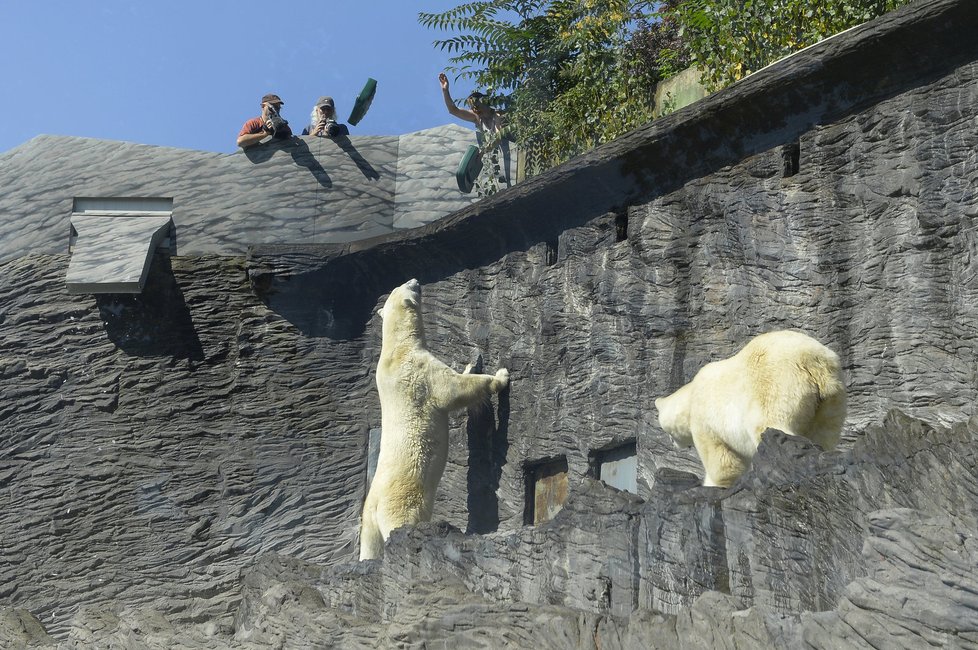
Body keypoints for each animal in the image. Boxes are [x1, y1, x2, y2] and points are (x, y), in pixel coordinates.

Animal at [360, 276, 510, 560]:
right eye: (408, 286)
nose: (415, 279)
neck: (396, 349)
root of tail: (372, 506)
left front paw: (471, 364)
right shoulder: (419, 370)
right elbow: (451, 389)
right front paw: (501, 376)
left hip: (369, 521)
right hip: (399, 497)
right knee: (401, 518)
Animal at [652, 330, 844, 486]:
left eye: (663, 426)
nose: (671, 441)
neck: (691, 396)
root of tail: (813, 361)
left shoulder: (706, 421)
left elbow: (721, 461)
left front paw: (711, 484)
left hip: (776, 384)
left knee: (770, 423)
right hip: (830, 398)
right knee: (824, 433)